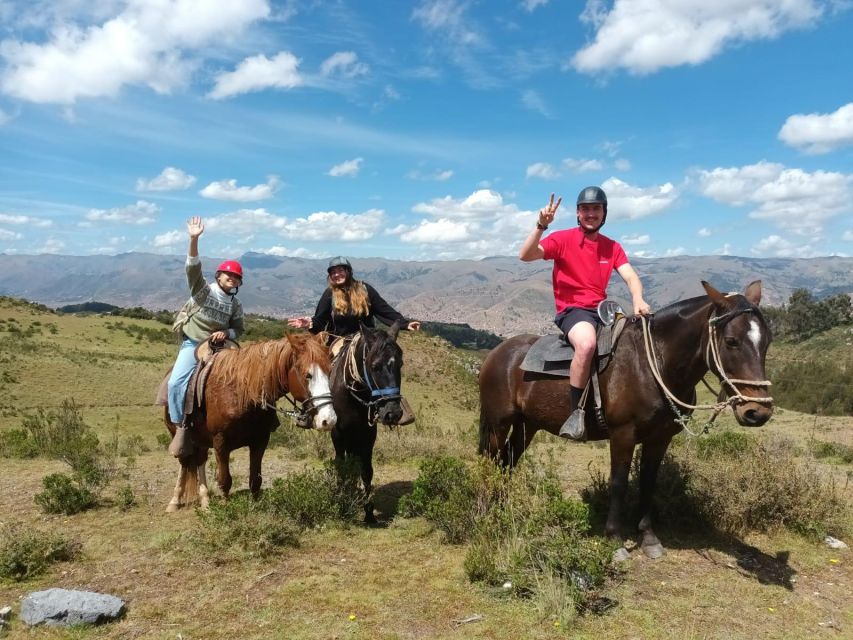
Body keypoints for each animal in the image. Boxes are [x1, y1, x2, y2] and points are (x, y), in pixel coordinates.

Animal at [161, 332, 334, 512]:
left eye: (330, 371)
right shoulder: (220, 442)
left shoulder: (260, 440)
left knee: (200, 460)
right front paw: (225, 508)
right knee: (184, 462)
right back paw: (175, 501)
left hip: (201, 439)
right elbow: (225, 480)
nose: (328, 420)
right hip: (178, 435)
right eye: (308, 375)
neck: (241, 393)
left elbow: (255, 480)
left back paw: (205, 499)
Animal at [328, 322, 404, 524]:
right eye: (375, 366)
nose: (393, 413)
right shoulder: (338, 433)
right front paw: (340, 501)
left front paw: (369, 511)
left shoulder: (368, 434)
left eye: (400, 364)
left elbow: (366, 470)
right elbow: (341, 465)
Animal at [476, 282, 776, 556]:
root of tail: (498, 353)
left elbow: (648, 482)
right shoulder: (623, 434)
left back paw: (503, 506)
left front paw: (648, 537)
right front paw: (615, 538)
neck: (654, 364)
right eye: (732, 341)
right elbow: (618, 483)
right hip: (498, 424)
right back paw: (486, 509)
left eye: (767, 342)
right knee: (491, 461)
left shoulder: (659, 438)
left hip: (527, 425)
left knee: (507, 461)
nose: (757, 412)